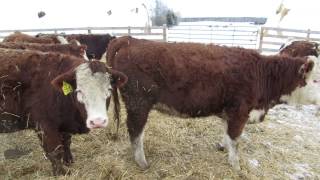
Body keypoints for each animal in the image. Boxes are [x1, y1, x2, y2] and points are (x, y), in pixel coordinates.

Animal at [0, 48, 127, 176]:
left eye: (109, 89)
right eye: (79, 91)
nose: (98, 121)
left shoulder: (64, 123)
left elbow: (66, 142)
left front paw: (68, 161)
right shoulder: (45, 126)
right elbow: (54, 151)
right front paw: (60, 172)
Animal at [105, 35, 316, 171]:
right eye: (316, 80)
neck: (262, 75)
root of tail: (129, 39)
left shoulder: (230, 111)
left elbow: (227, 134)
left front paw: (222, 147)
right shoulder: (240, 112)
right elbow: (235, 140)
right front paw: (236, 166)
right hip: (138, 103)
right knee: (135, 132)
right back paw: (142, 162)